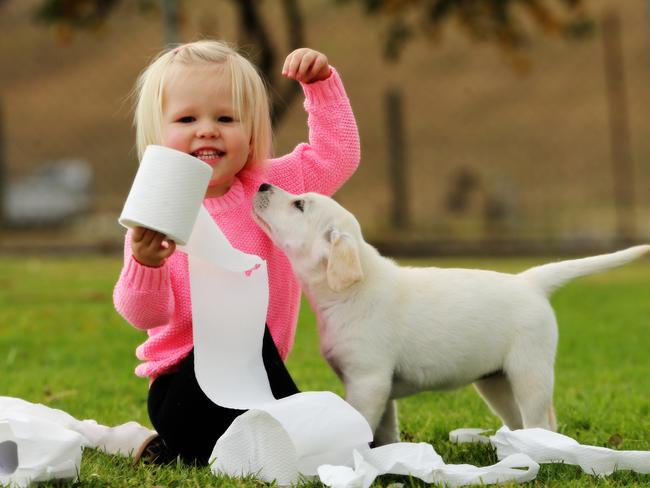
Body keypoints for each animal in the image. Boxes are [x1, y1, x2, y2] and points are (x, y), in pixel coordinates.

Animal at [251, 183, 644, 446]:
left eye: (299, 204)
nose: (262, 184)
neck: (352, 290)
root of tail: (529, 282)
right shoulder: (379, 389)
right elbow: (384, 431)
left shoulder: (367, 381)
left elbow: (361, 423)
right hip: (495, 381)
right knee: (526, 419)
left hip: (529, 371)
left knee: (539, 419)